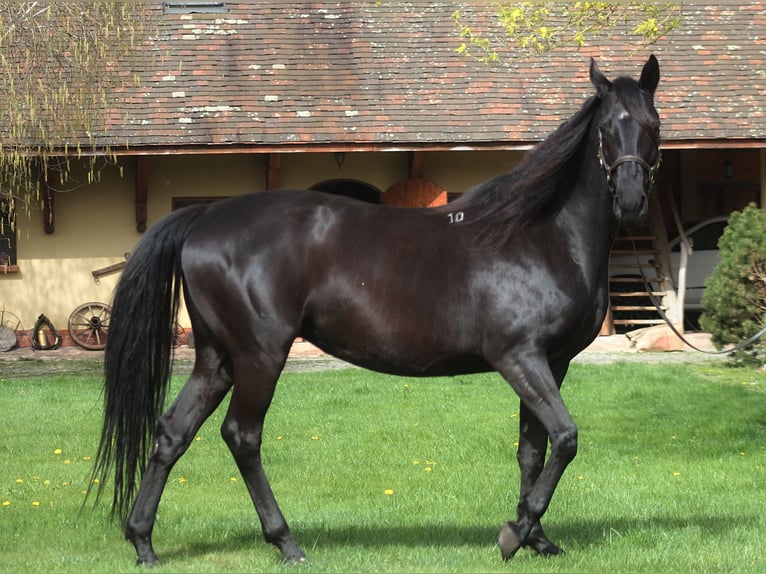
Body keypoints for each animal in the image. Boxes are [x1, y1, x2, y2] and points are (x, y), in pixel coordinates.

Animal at [91, 55, 662, 565]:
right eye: (607, 128)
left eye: (653, 125)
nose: (633, 201)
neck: (541, 235)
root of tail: (205, 215)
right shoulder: (519, 358)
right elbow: (565, 439)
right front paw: (513, 534)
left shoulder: (552, 362)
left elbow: (534, 450)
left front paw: (537, 539)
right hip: (259, 356)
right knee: (242, 436)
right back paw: (286, 542)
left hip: (217, 359)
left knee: (173, 432)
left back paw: (143, 542)